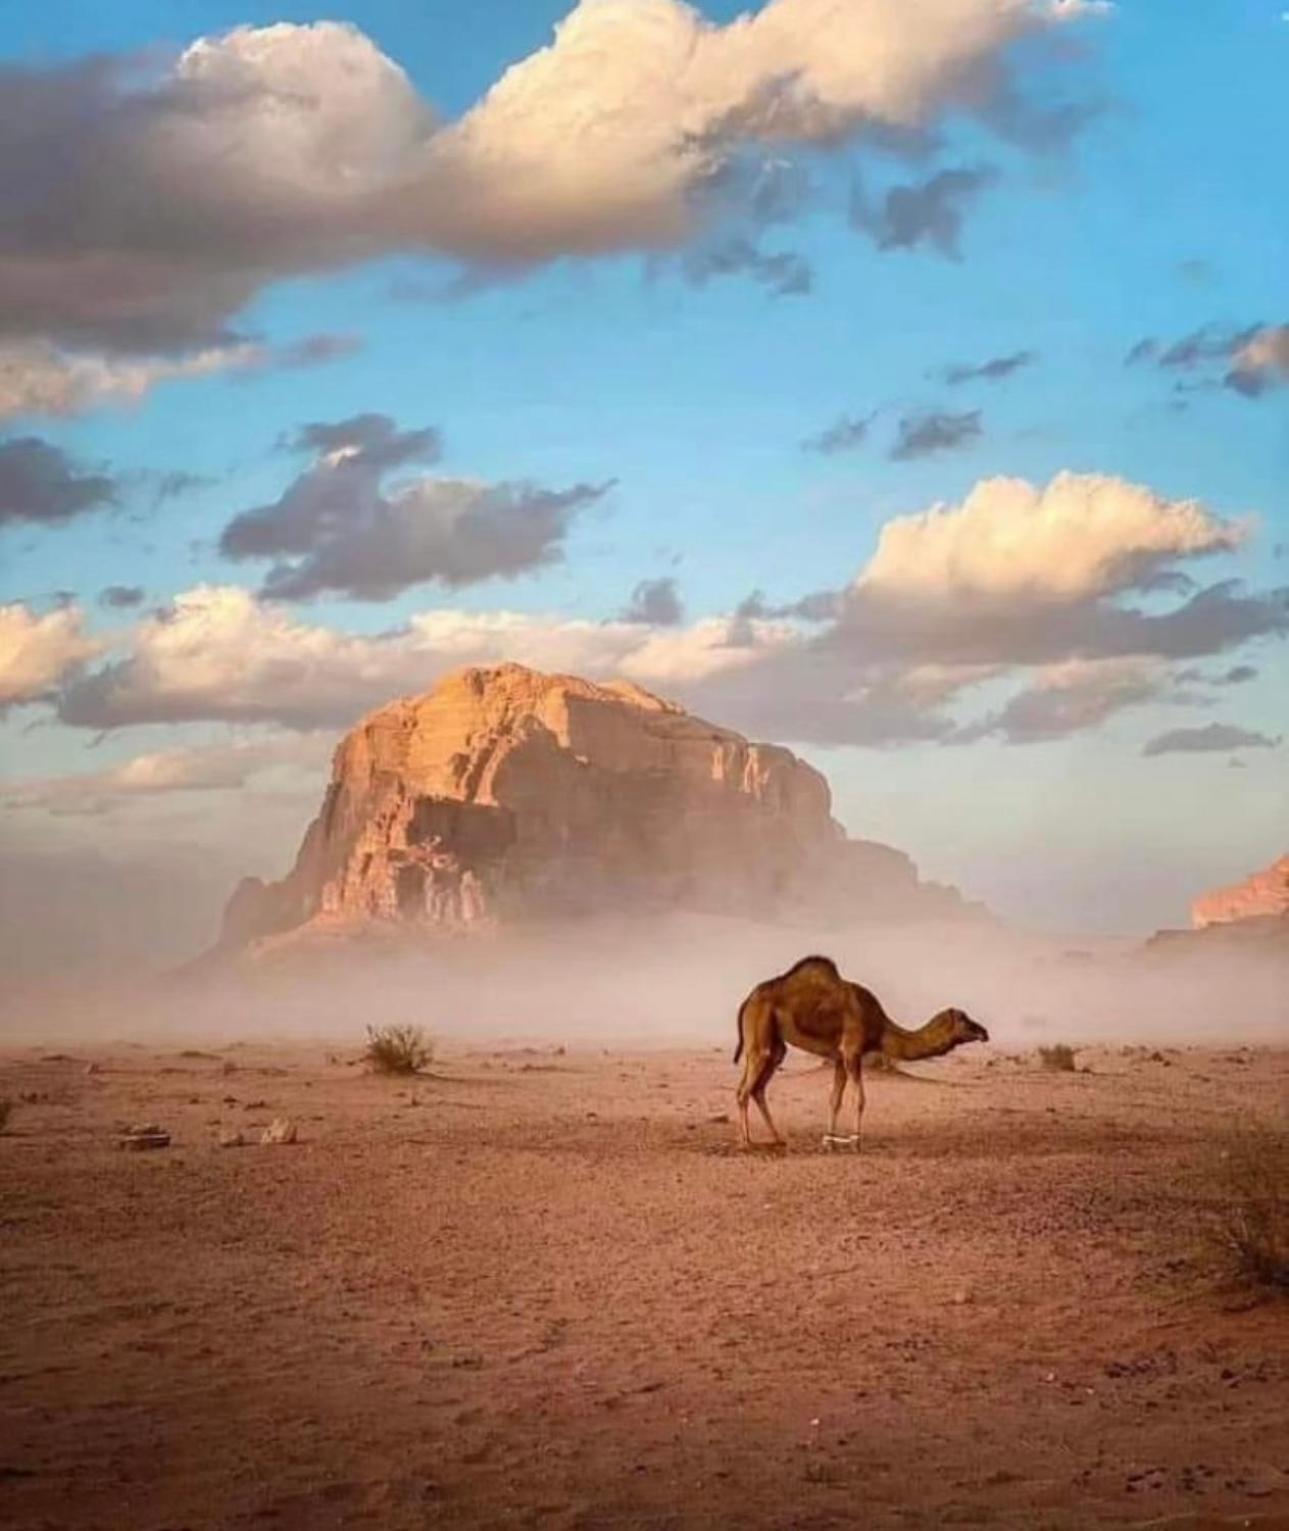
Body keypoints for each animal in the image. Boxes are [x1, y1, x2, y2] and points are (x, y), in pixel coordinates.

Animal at [734, 949, 985, 1151]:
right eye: (964, 1019)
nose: (984, 1032)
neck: (879, 1026)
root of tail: (747, 1000)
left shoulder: (839, 1057)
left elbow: (835, 1100)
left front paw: (829, 1142)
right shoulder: (852, 1051)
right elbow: (860, 1098)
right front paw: (856, 1142)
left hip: (774, 1043)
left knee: (758, 1086)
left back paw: (778, 1139)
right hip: (759, 1029)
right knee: (745, 1089)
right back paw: (747, 1142)